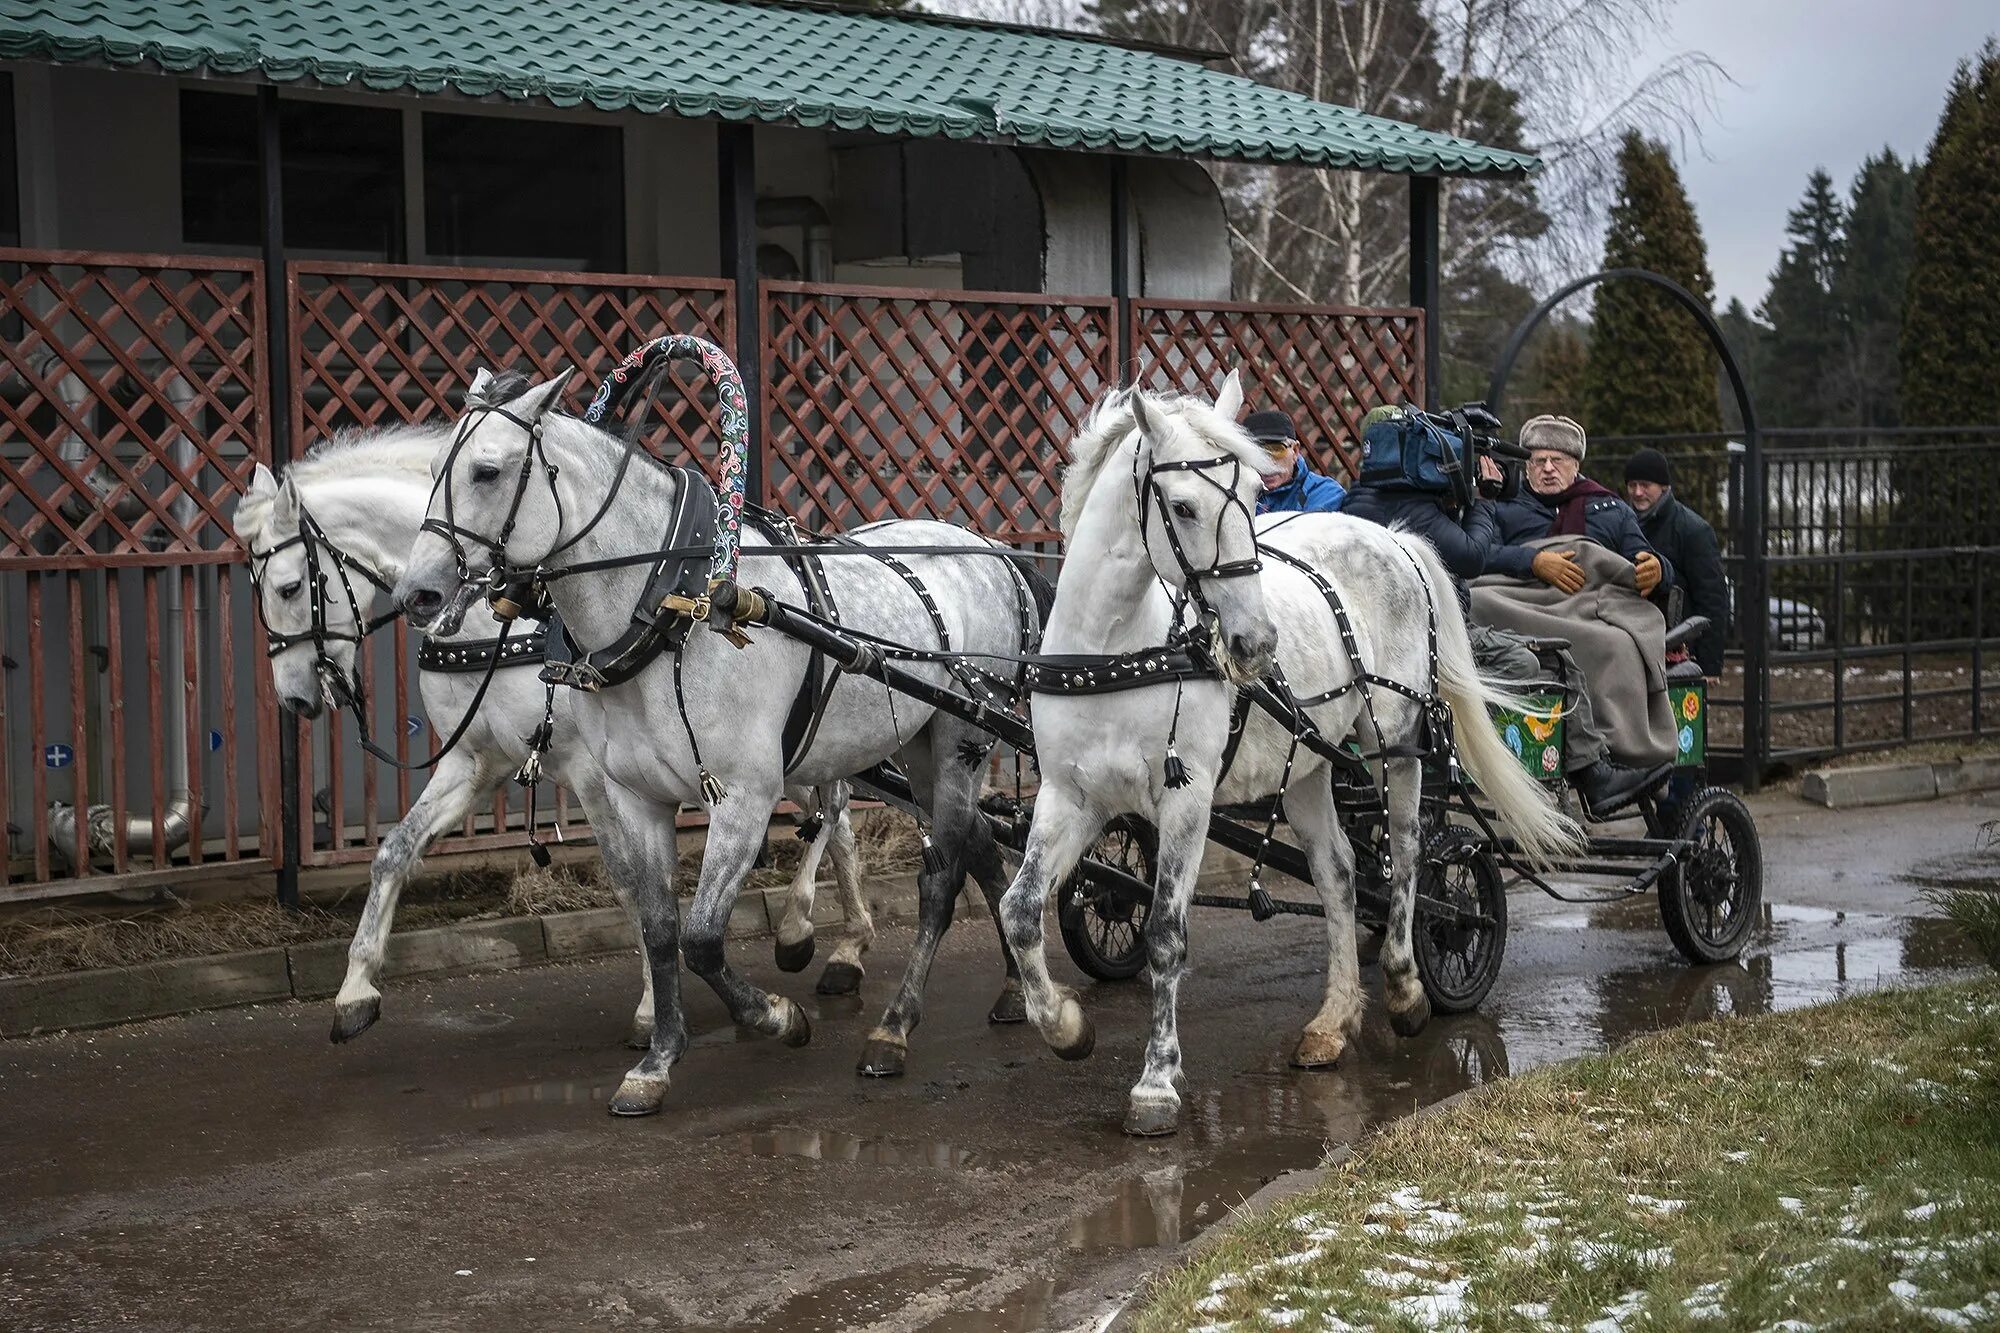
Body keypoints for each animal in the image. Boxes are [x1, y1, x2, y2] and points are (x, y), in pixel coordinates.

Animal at [229, 420, 868, 1040]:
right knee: (834, 817)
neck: (497, 625)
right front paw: (355, 991)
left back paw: (807, 930)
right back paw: (841, 946)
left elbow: (629, 881)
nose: (294, 697)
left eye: (289, 588)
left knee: (834, 810)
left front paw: (649, 1007)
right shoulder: (474, 763)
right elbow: (394, 851)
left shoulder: (592, 773)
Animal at [398, 366, 1040, 1112]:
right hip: (921, 746)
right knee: (981, 847)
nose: (416, 594)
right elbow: (661, 929)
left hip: (963, 739)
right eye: (433, 470)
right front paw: (657, 1059)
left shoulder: (744, 795)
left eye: (487, 470)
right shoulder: (638, 798)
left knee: (941, 878)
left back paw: (894, 1029)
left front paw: (777, 1016)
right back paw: (1014, 990)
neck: (673, 606)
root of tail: (993, 552)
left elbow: (705, 937)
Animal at [996, 374, 1576, 1128]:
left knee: (1410, 855)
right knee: (1338, 875)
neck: (1118, 650)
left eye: (1250, 494)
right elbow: (1019, 910)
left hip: (1396, 744)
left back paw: (1406, 983)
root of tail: (1393, 538)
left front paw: (1156, 1081)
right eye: (1182, 505)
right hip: (1306, 766)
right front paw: (1064, 1025)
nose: (1255, 641)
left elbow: (1165, 934)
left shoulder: (1187, 799)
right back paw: (1333, 1021)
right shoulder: (1071, 795)